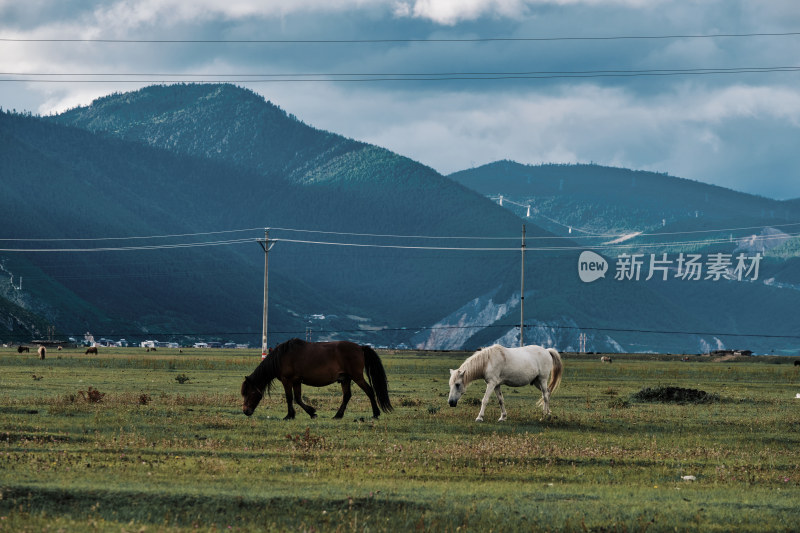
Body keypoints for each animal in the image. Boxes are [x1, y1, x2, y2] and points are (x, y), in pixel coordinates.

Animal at [244, 336, 394, 420]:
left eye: (251, 393)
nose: (246, 411)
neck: (282, 357)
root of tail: (360, 347)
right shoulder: (296, 381)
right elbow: (298, 398)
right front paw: (311, 413)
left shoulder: (288, 381)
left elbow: (290, 398)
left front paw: (289, 415)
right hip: (345, 379)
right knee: (347, 396)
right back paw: (338, 415)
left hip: (356, 377)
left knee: (369, 391)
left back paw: (375, 414)